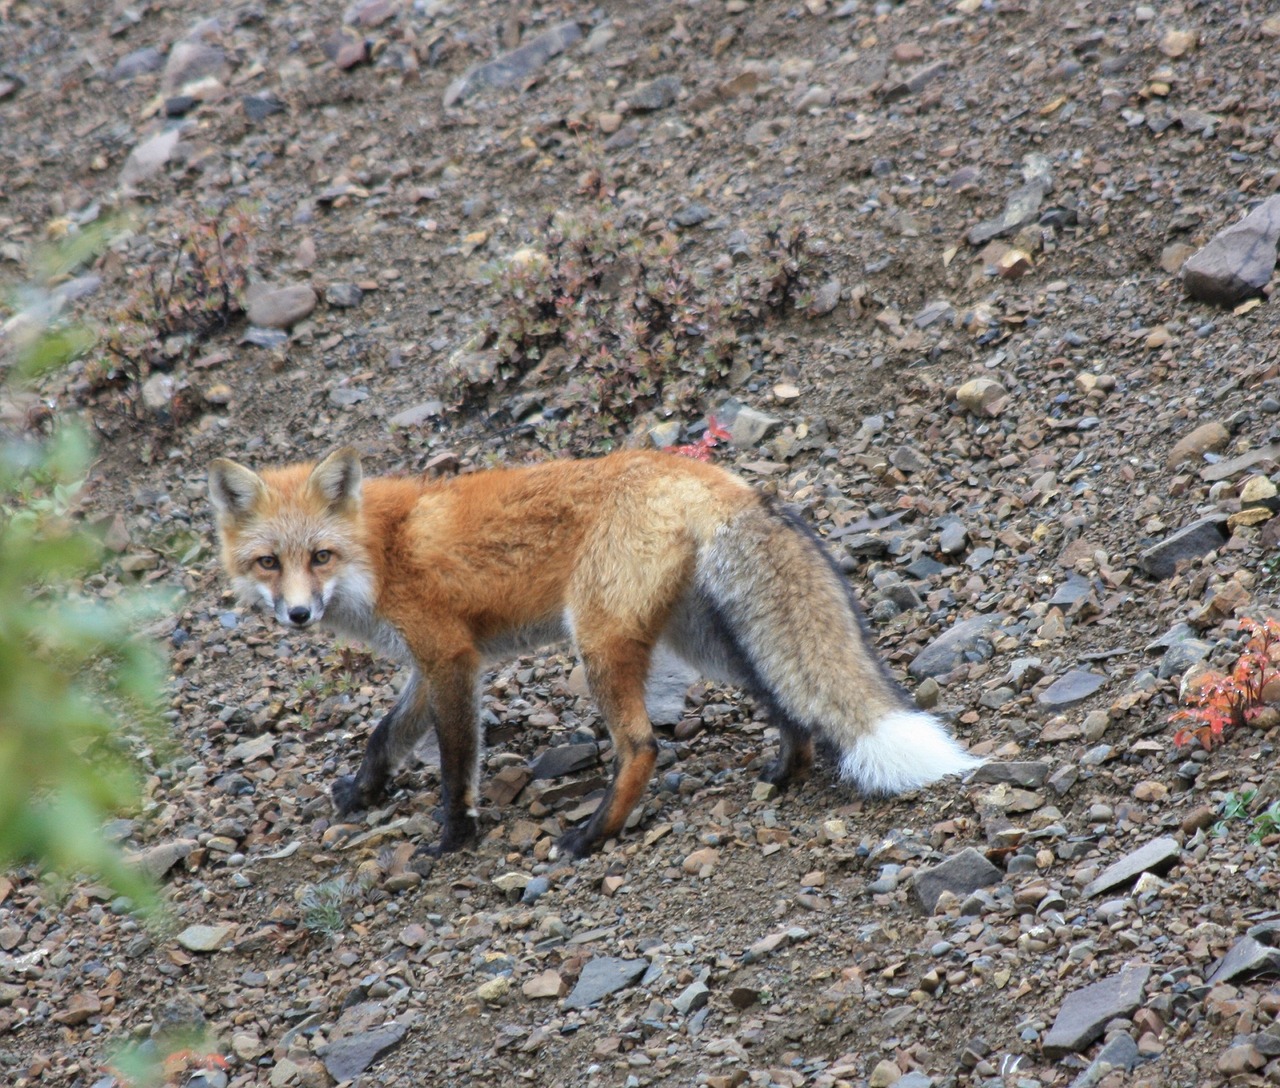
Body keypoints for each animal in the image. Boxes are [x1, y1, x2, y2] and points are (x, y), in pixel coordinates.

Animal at [207, 448, 977, 855]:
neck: (381, 553)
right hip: (701, 640)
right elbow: (384, 735)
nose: (298, 614)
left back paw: (593, 835)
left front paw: (454, 835)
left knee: (641, 746)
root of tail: (700, 472)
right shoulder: (434, 661)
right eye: (269, 562)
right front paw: (362, 792)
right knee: (786, 697)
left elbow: (455, 763)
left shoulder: (451, 658)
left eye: (320, 556)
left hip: (599, 639)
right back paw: (785, 771)